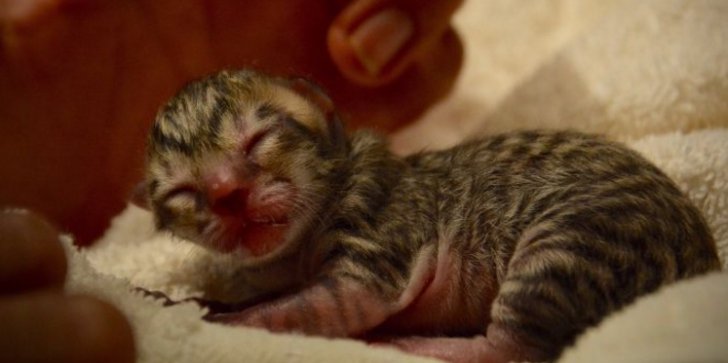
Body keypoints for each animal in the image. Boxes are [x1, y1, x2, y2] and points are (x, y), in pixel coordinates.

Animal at [139, 69, 720, 362]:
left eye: (258, 139)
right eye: (185, 193)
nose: (227, 193)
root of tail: (702, 270)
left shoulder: (375, 239)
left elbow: (306, 307)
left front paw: (200, 315)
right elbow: (270, 296)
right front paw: (188, 298)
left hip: (570, 244)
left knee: (515, 350)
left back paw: (413, 344)